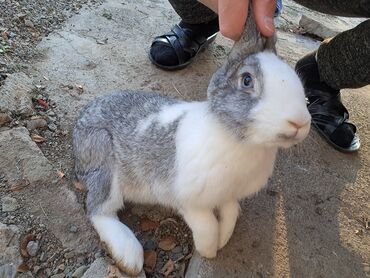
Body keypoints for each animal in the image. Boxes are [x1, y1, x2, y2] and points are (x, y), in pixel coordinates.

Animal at [71, 4, 310, 276]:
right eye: (247, 80)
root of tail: (81, 121)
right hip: (104, 162)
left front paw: (224, 239)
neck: (238, 140)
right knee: (98, 210)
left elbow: (230, 214)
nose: (299, 122)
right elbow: (207, 225)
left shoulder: (229, 196)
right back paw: (130, 256)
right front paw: (210, 250)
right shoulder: (186, 200)